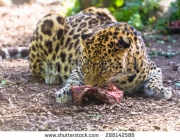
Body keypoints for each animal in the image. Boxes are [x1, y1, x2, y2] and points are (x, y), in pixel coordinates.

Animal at [0, 7, 172, 103]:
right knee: (35, 67)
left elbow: (155, 81)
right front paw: (65, 91)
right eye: (86, 65)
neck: (121, 79)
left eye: (104, 68)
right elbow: (73, 79)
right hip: (51, 20)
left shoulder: (154, 68)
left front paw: (161, 90)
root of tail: (71, 16)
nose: (90, 85)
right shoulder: (77, 68)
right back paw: (52, 75)